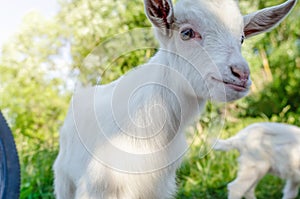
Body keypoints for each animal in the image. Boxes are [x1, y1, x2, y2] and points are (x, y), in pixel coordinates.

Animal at [52, 0, 296, 198]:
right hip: (63, 177)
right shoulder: (99, 185)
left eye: (242, 38)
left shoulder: (157, 186)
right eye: (186, 33)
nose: (241, 74)